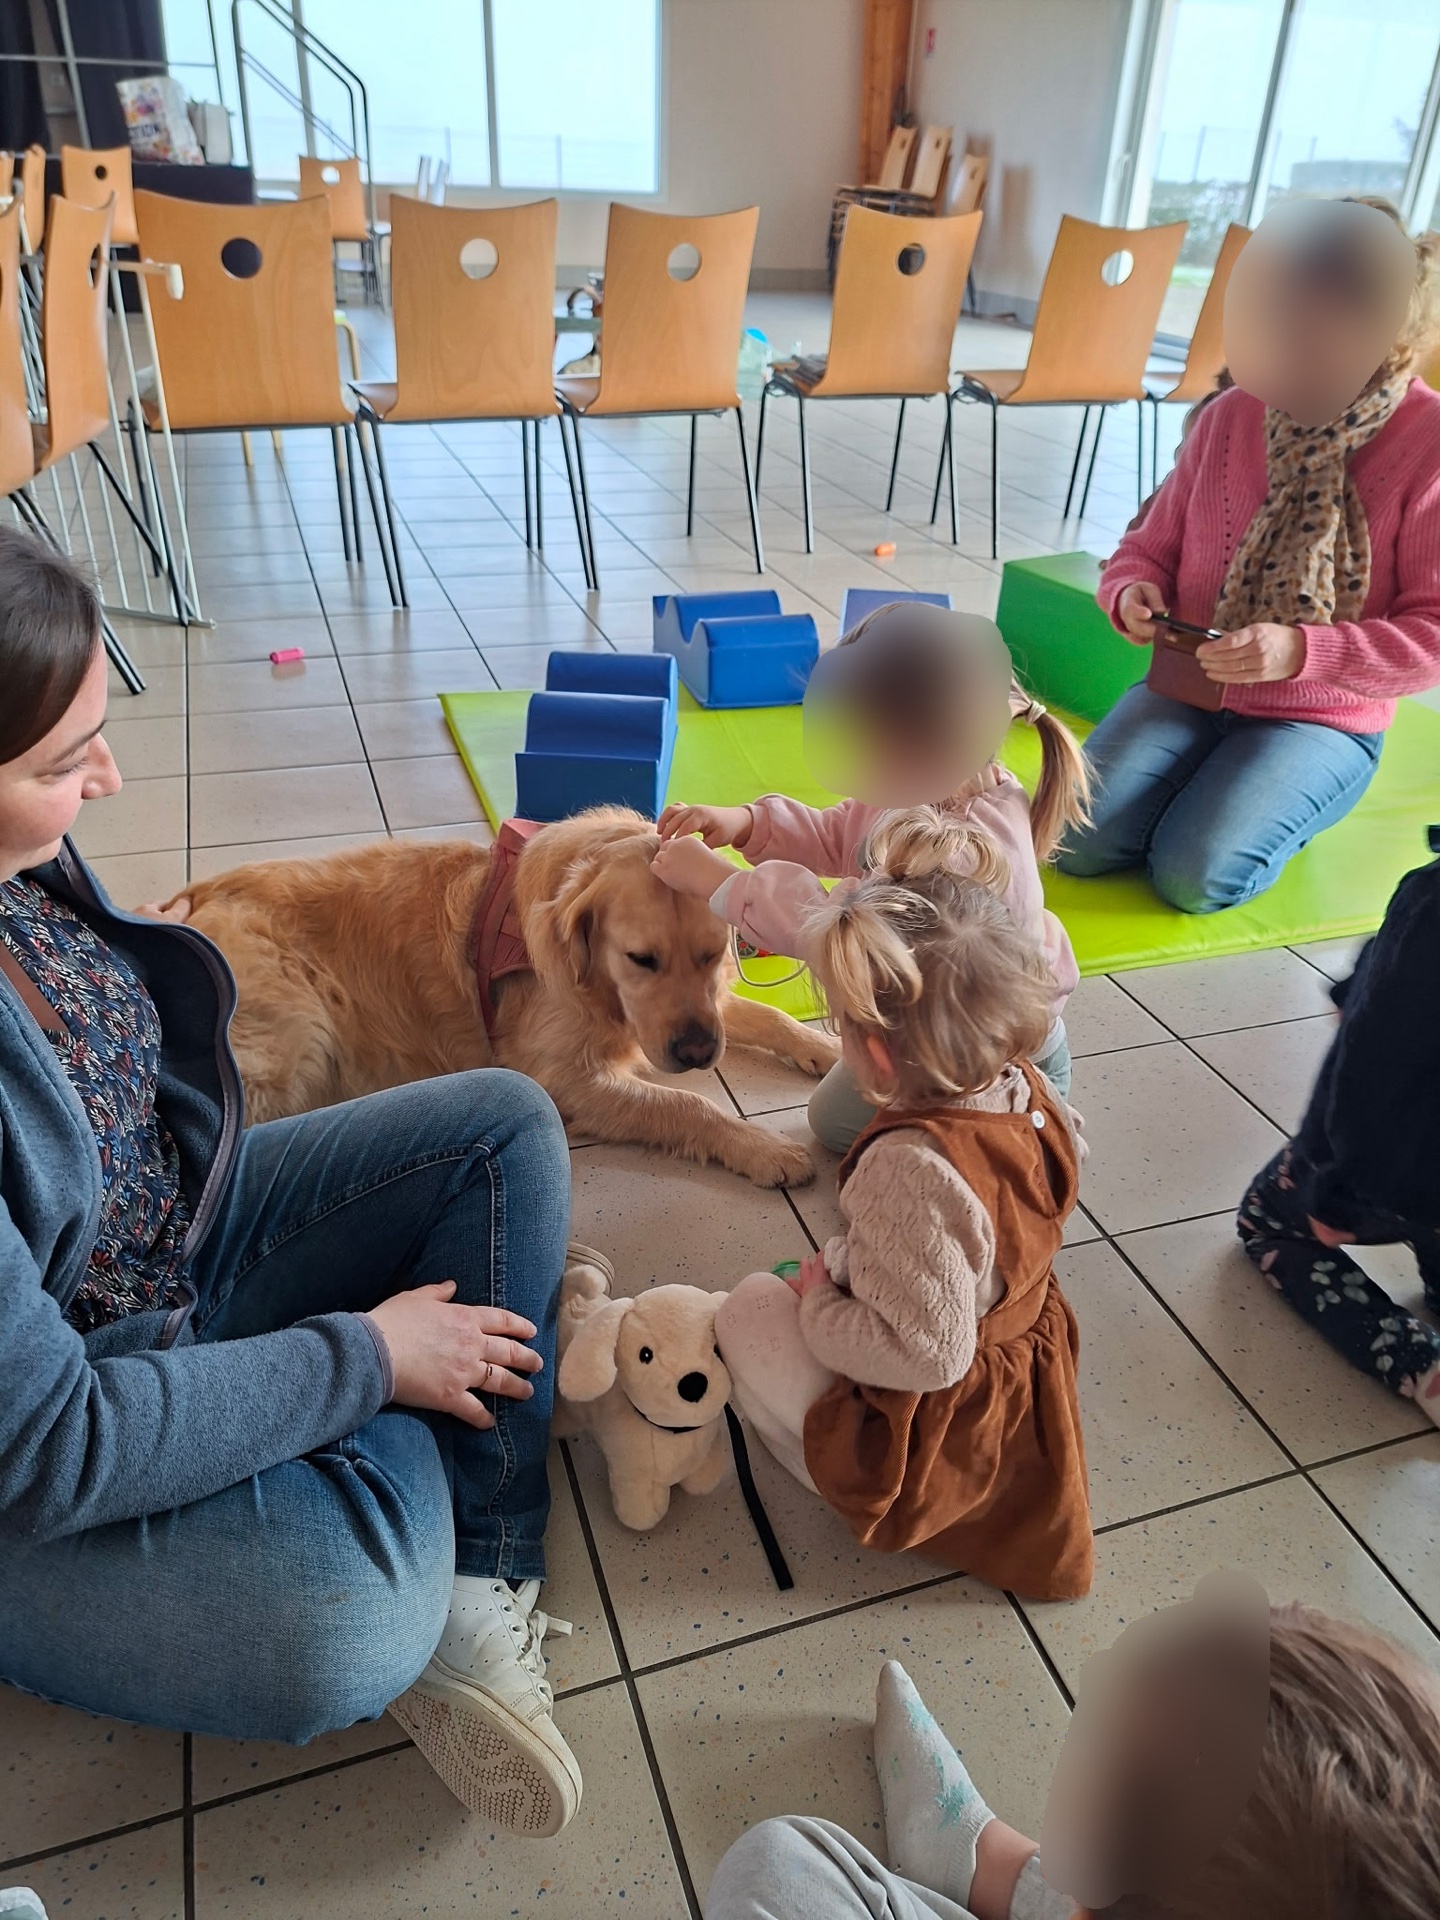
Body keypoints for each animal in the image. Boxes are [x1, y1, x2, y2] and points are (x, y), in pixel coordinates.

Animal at [170, 807, 839, 1187]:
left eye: (711, 953)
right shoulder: (567, 1078)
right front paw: (763, 1147)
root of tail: (194, 897)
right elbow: (690, 1106)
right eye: (640, 959)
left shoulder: (702, 1010)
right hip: (297, 1038)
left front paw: (828, 1051)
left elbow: (770, 1016)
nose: (700, 1054)